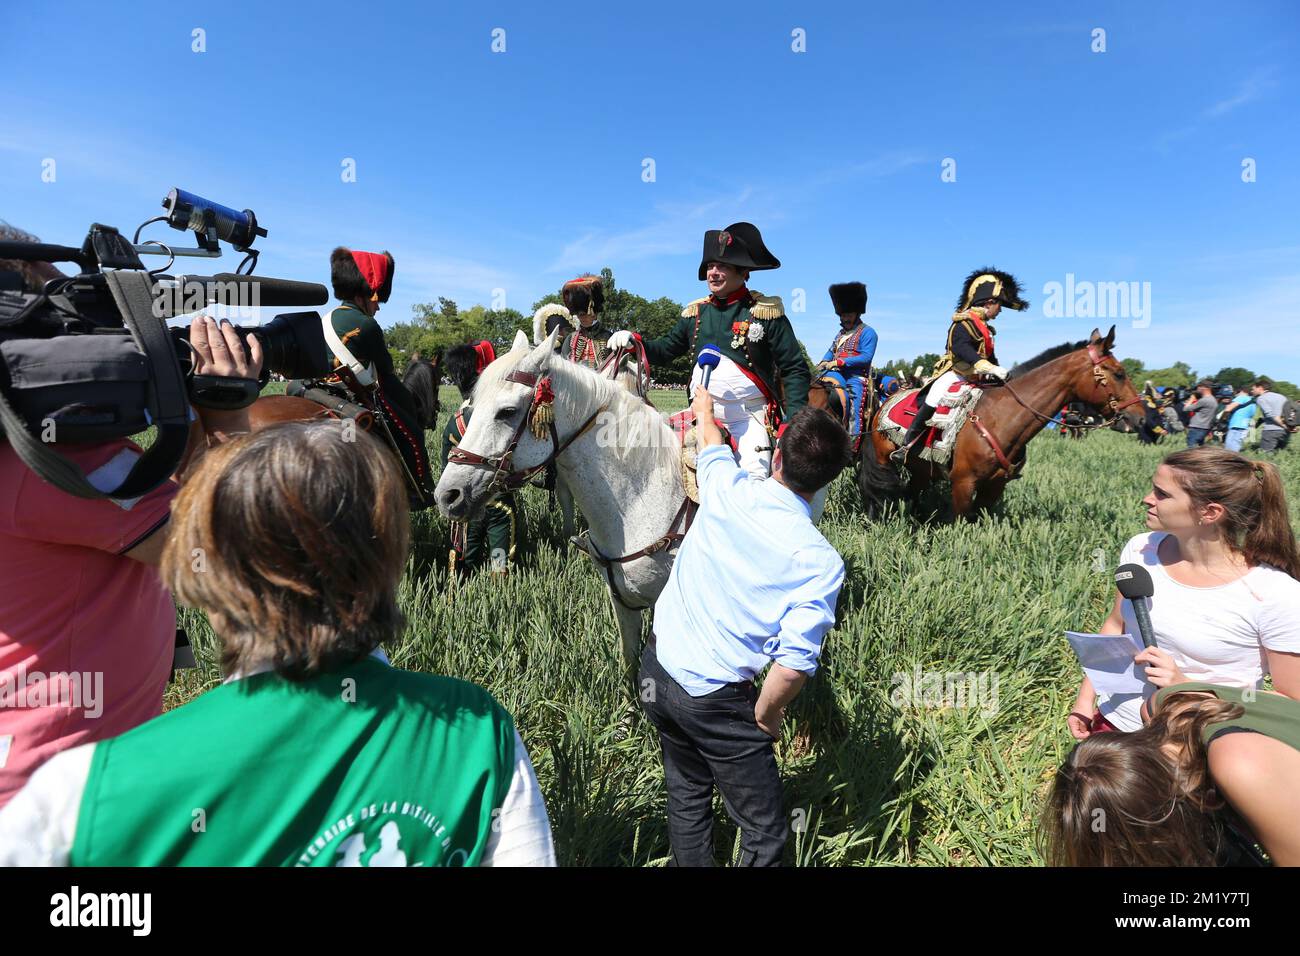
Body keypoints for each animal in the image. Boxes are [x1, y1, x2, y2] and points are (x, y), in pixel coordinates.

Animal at [436, 329, 686, 665]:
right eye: (472, 408)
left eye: (507, 412)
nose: (447, 495)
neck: (643, 499)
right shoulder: (624, 604)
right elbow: (631, 666)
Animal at [863, 329, 1138, 522]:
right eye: (1118, 373)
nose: (1137, 418)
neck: (1002, 418)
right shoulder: (963, 484)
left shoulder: (994, 487)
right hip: (883, 459)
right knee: (878, 488)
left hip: (922, 470)